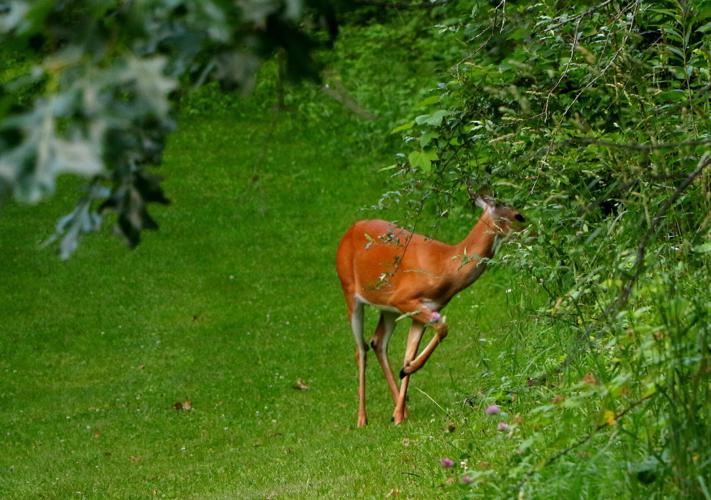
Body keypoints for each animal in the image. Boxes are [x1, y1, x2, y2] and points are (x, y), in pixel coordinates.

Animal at [335, 191, 526, 427]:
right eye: (519, 215)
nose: (533, 232)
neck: (445, 267)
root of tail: (348, 231)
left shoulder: (423, 308)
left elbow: (409, 353)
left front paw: (399, 410)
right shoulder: (405, 299)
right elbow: (443, 328)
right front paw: (405, 378)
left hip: (387, 308)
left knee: (377, 342)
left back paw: (402, 410)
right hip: (349, 290)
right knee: (360, 349)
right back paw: (362, 418)